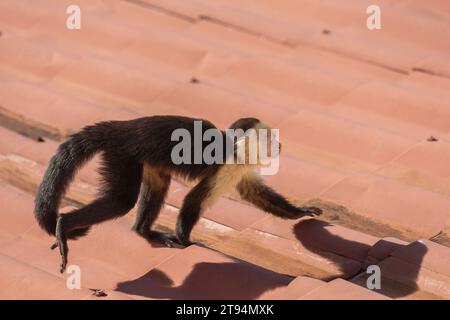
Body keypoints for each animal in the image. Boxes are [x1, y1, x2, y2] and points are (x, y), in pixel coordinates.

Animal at [33, 115, 322, 272]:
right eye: (270, 138)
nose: (280, 145)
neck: (234, 148)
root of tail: (122, 126)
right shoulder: (228, 162)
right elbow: (194, 200)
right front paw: (187, 241)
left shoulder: (240, 166)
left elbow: (254, 192)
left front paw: (299, 212)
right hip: (123, 153)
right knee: (121, 201)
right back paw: (64, 225)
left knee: (158, 185)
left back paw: (144, 231)